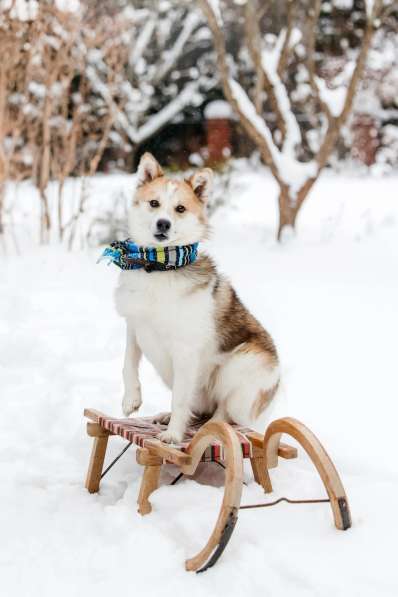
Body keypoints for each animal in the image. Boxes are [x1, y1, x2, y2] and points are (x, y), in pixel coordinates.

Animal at [113, 154, 278, 442]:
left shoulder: (185, 352)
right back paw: (168, 416)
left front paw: (173, 435)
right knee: (200, 410)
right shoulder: (134, 328)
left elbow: (180, 399)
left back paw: (210, 428)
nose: (163, 224)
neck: (160, 266)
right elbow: (128, 365)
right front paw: (131, 399)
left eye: (180, 208)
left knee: (224, 414)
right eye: (154, 203)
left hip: (243, 363)